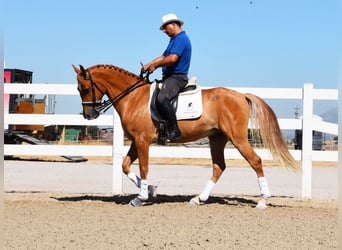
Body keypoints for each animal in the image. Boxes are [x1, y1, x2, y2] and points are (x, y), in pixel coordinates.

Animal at [73, 64, 300, 207]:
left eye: (83, 87)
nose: (89, 115)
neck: (133, 97)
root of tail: (241, 95)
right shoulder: (136, 141)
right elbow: (125, 165)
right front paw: (151, 190)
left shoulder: (143, 140)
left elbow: (144, 168)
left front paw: (142, 196)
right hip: (217, 138)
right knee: (219, 166)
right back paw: (199, 198)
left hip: (237, 138)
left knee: (255, 161)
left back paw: (263, 200)